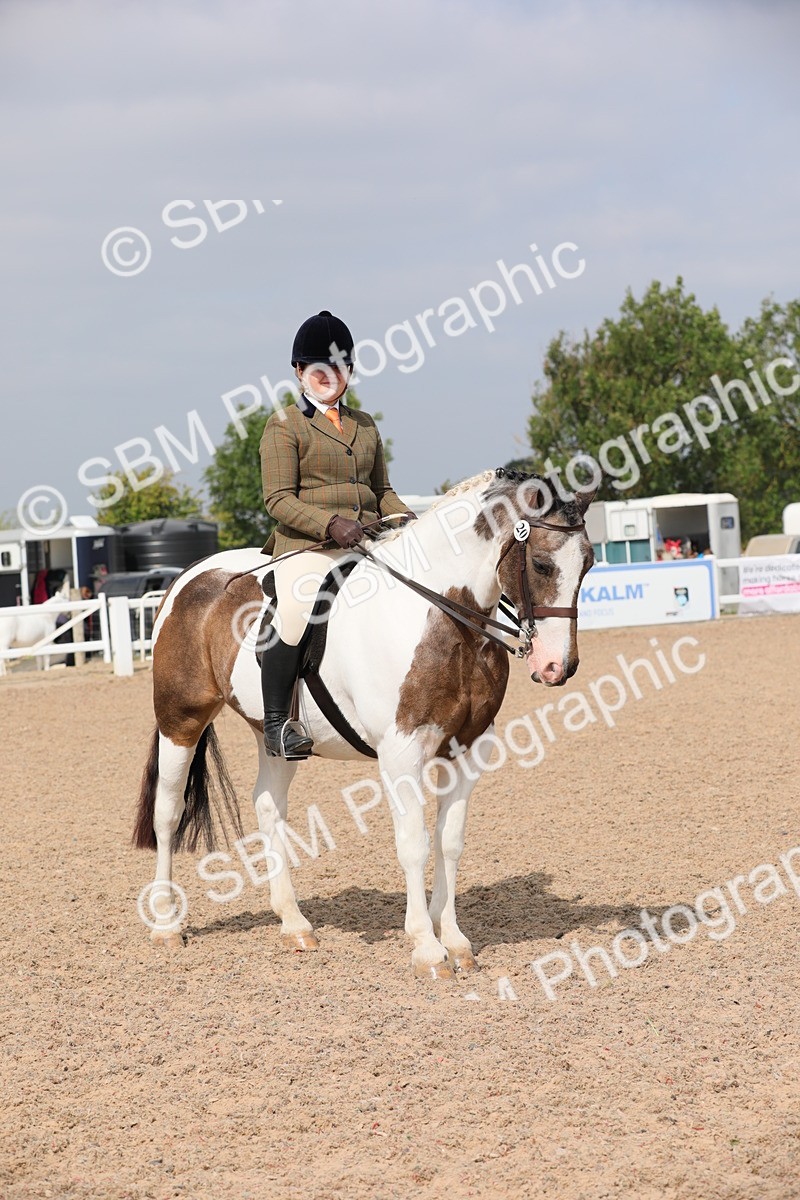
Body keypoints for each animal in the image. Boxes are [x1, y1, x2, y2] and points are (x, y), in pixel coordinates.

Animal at [133, 469, 595, 978]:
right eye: (542, 565)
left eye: (589, 564)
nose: (557, 667)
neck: (442, 616)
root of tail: (189, 577)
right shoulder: (401, 751)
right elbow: (413, 843)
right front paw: (427, 948)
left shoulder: (468, 748)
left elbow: (449, 841)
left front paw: (455, 940)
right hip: (180, 718)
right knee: (168, 812)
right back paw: (166, 925)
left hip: (274, 736)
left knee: (269, 805)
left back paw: (294, 924)